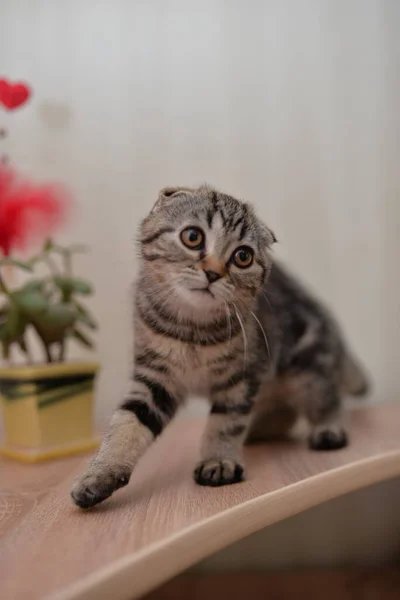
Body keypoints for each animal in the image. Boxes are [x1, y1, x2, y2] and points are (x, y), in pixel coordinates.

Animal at [70, 185, 368, 508]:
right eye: (192, 236)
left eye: (243, 256)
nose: (212, 272)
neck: (192, 330)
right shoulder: (155, 378)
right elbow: (126, 423)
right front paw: (99, 473)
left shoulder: (241, 378)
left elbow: (225, 423)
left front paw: (219, 460)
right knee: (282, 413)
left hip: (307, 367)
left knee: (326, 396)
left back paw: (328, 429)